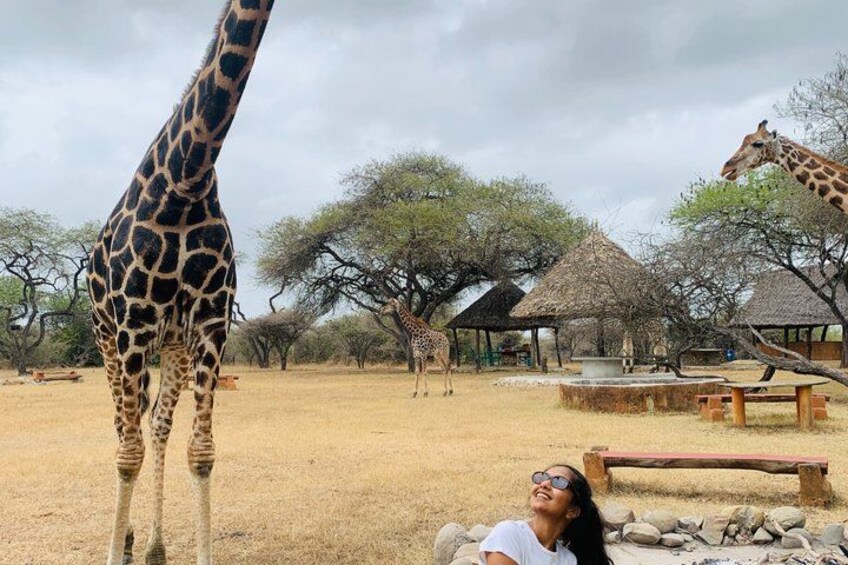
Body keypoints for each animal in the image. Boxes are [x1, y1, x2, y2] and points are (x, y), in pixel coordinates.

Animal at [87, 2, 274, 563]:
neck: (186, 180)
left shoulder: (211, 322)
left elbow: (201, 450)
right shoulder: (133, 322)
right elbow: (127, 453)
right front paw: (116, 550)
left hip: (172, 346)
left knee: (156, 424)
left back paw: (153, 546)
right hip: (108, 337)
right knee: (123, 429)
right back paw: (127, 541)